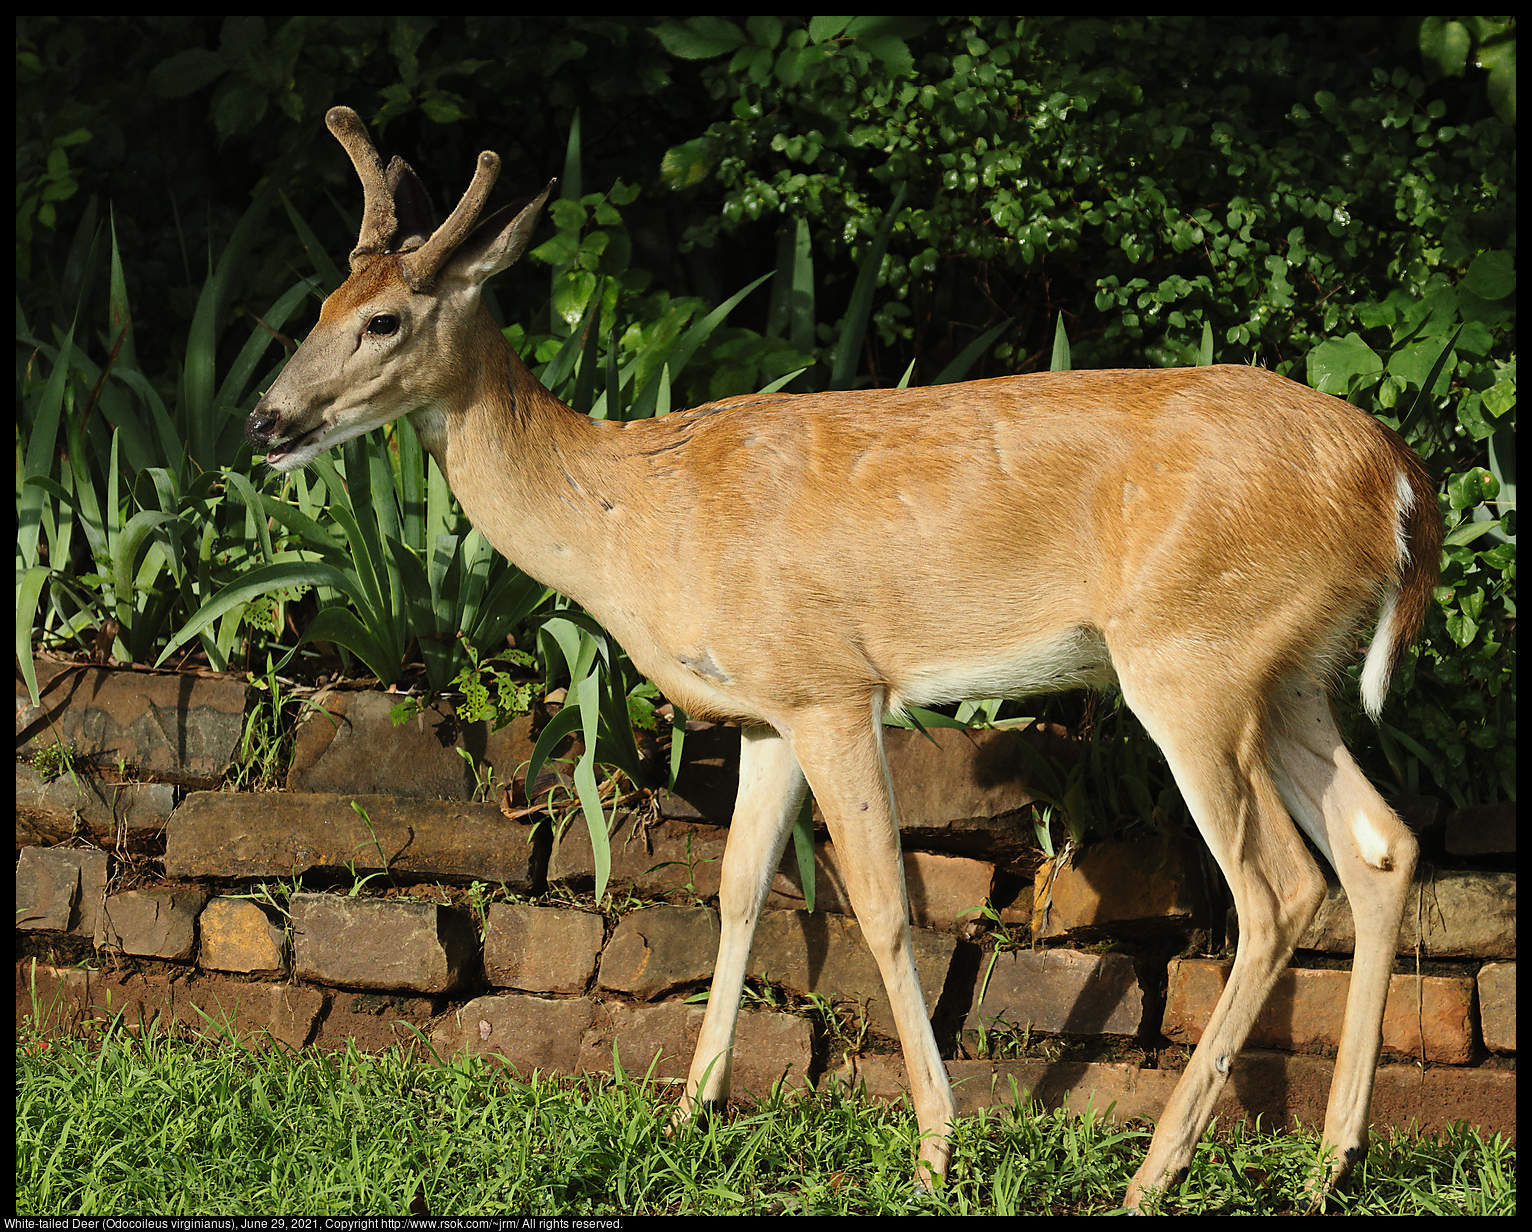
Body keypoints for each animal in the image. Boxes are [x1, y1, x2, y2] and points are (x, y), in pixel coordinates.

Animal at [245, 108, 1440, 1213]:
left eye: (385, 318)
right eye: (320, 306)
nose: (264, 419)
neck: (632, 515)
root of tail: (1398, 480)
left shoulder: (829, 683)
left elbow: (881, 902)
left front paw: (936, 1151)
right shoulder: (766, 706)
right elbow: (736, 891)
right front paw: (689, 1114)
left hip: (1191, 656)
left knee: (1277, 887)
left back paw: (1156, 1171)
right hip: (1288, 669)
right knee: (1381, 844)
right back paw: (1329, 1163)